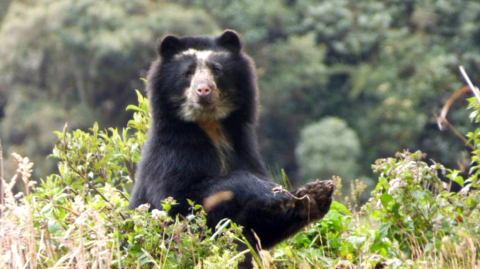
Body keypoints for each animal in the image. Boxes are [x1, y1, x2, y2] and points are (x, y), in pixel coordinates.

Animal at [129, 29, 336, 266]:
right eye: (187, 73)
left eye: (217, 70)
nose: (203, 90)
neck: (210, 125)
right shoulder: (171, 155)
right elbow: (178, 204)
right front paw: (272, 191)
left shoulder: (243, 148)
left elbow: (259, 227)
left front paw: (315, 194)